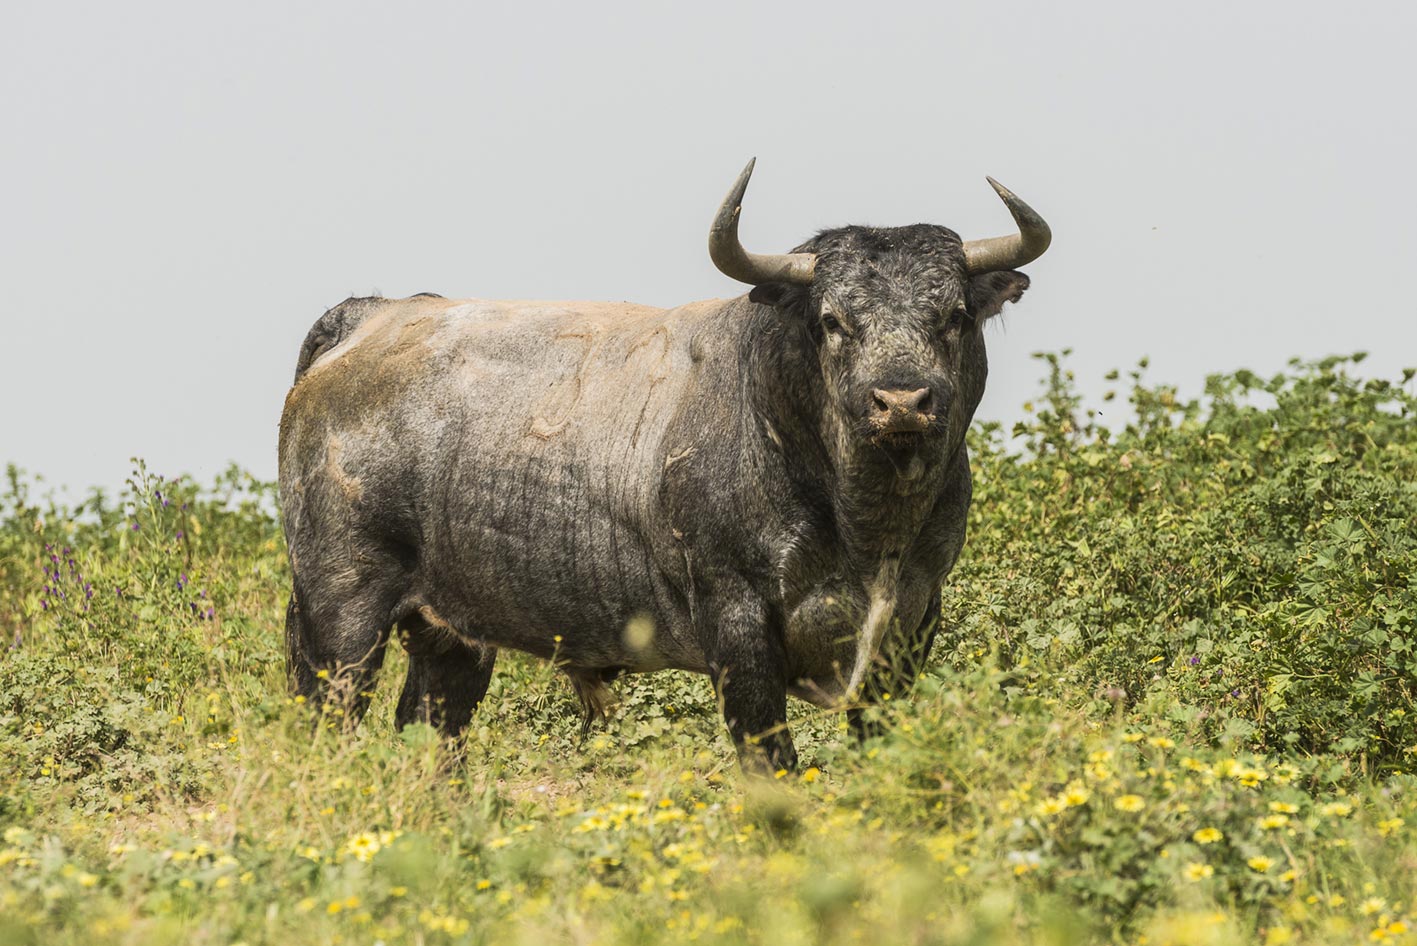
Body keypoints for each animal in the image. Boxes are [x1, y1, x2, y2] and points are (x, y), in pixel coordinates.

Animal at [279, 160, 1054, 770]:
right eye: (834, 320)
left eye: (954, 315)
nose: (901, 401)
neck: (865, 528)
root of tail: (371, 318)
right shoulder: (736, 624)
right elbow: (770, 760)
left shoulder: (912, 623)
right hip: (341, 613)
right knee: (329, 726)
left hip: (452, 636)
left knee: (431, 736)